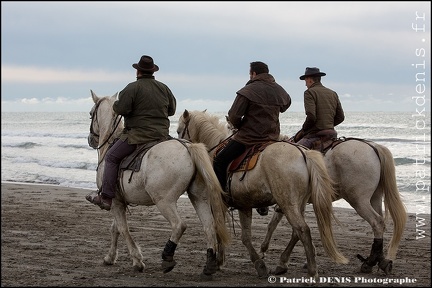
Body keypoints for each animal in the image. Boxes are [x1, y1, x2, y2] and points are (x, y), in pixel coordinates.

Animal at [85, 91, 231, 280]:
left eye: (91, 113)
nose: (91, 139)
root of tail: (188, 147)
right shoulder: (119, 202)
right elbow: (115, 229)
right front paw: (110, 257)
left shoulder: (115, 202)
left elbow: (123, 229)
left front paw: (137, 261)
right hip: (199, 198)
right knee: (209, 227)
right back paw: (209, 266)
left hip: (164, 201)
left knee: (179, 225)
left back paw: (167, 259)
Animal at [176, 108, 348, 280]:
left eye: (178, 130)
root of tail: (304, 153)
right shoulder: (244, 205)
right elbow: (245, 237)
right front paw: (258, 264)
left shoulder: (219, 203)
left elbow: (221, 229)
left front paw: (217, 262)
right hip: (298, 203)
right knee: (296, 232)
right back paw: (285, 264)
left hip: (287, 203)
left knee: (302, 230)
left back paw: (311, 271)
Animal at [260, 136, 408, 276]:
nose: (262, 210)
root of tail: (373, 146)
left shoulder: (286, 202)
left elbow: (272, 225)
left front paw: (264, 251)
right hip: (375, 198)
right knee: (381, 223)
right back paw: (380, 261)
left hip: (359, 201)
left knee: (376, 222)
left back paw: (370, 262)